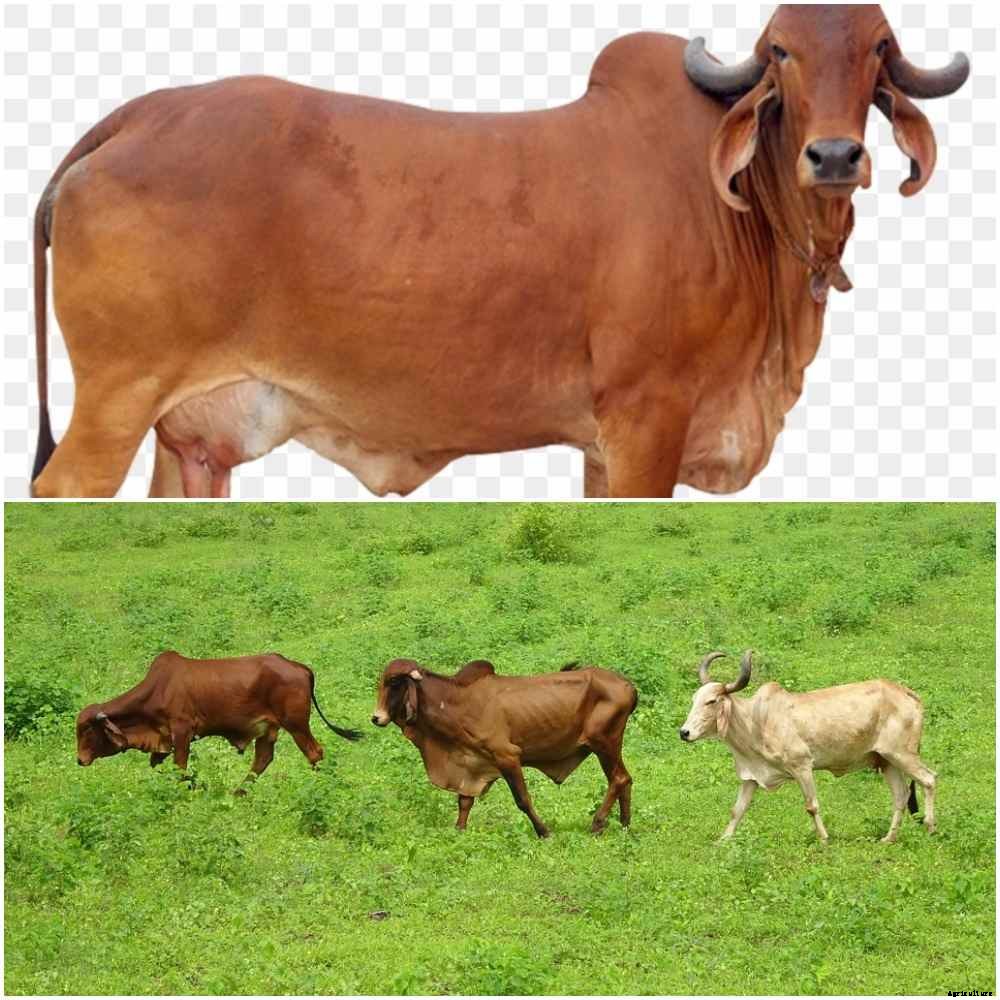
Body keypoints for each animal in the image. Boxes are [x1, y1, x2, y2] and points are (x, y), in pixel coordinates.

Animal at [29, 6, 969, 499]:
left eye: (880, 48)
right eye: (780, 52)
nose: (836, 156)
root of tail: (140, 114)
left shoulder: (601, 446)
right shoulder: (646, 419)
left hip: (188, 446)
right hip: (114, 401)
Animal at [75, 651, 361, 792]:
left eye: (87, 729)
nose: (80, 760)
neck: (157, 689)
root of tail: (299, 667)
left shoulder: (182, 732)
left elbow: (180, 768)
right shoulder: (163, 742)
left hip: (296, 724)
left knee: (315, 753)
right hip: (269, 729)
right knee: (262, 760)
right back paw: (238, 793)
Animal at [371, 659, 638, 837]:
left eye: (394, 682)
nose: (376, 718)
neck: (456, 703)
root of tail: (628, 686)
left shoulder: (507, 756)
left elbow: (523, 800)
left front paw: (544, 831)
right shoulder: (471, 762)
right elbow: (464, 801)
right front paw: (459, 830)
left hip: (604, 742)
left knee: (618, 779)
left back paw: (598, 824)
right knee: (625, 779)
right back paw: (625, 826)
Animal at [679, 651, 937, 843]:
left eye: (711, 701)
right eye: (694, 700)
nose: (684, 732)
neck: (755, 721)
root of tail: (908, 694)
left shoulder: (802, 766)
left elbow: (811, 806)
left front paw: (824, 839)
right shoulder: (751, 777)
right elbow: (737, 810)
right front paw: (722, 841)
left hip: (902, 754)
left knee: (929, 779)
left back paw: (930, 827)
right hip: (886, 761)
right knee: (901, 796)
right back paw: (888, 839)